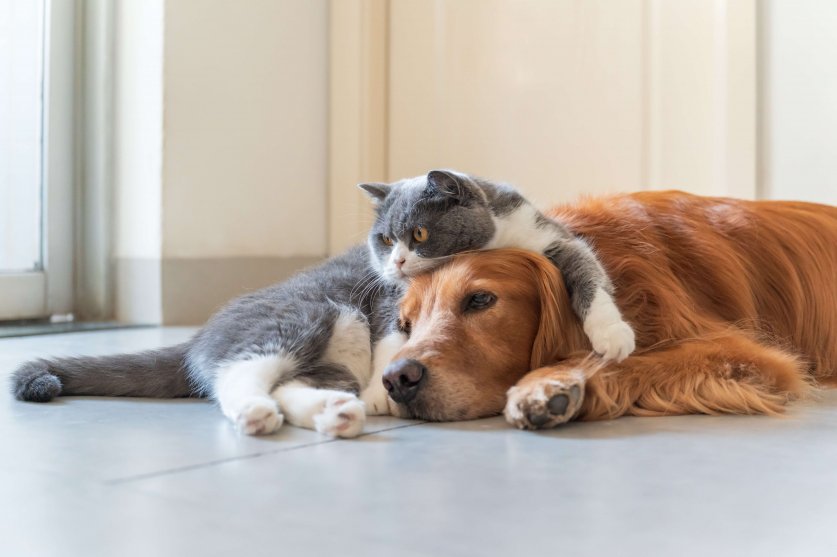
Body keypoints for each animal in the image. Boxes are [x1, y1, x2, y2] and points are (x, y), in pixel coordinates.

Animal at [358, 168, 632, 360]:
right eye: (386, 239)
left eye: (419, 233)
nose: (397, 261)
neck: (493, 242)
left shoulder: (551, 236)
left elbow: (587, 273)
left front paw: (612, 334)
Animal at [380, 189, 836, 428]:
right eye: (406, 323)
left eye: (480, 299)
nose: (397, 380)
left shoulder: (751, 355)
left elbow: (629, 360)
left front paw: (547, 384)